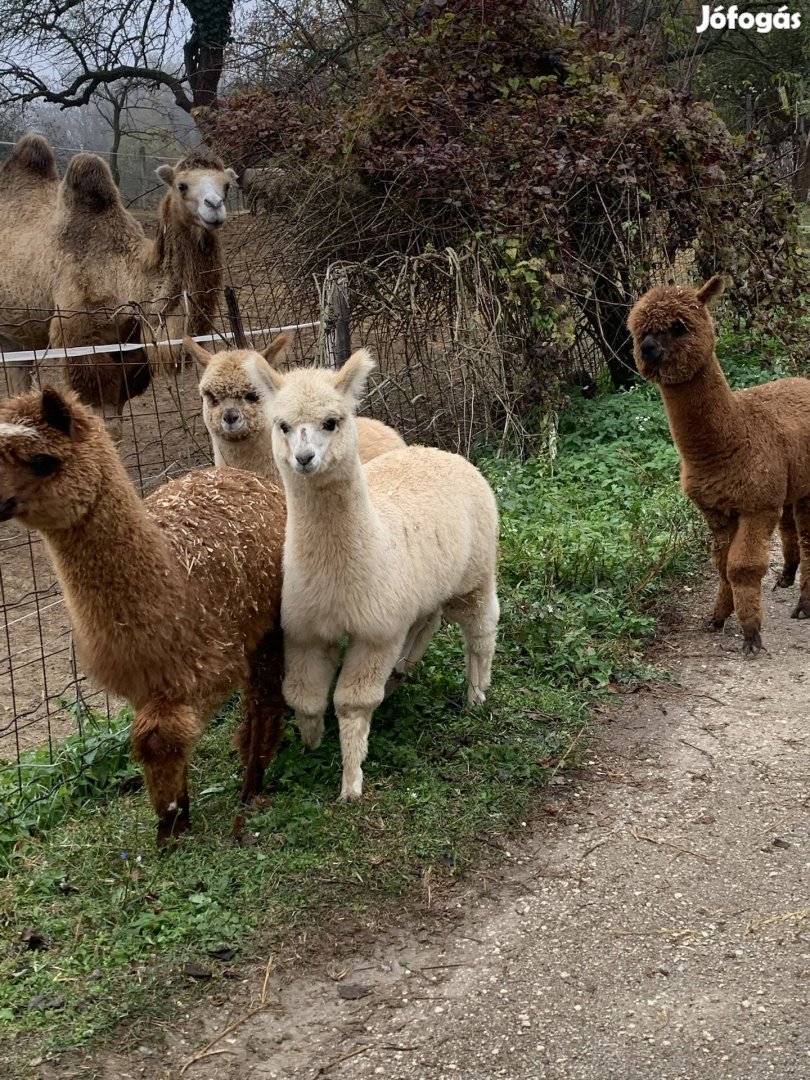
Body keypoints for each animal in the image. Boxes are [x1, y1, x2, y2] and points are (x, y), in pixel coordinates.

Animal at [0, 132, 237, 436]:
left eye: (226, 185)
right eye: (182, 186)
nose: (214, 206)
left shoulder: (130, 352)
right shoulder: (81, 345)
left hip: (15, 338)